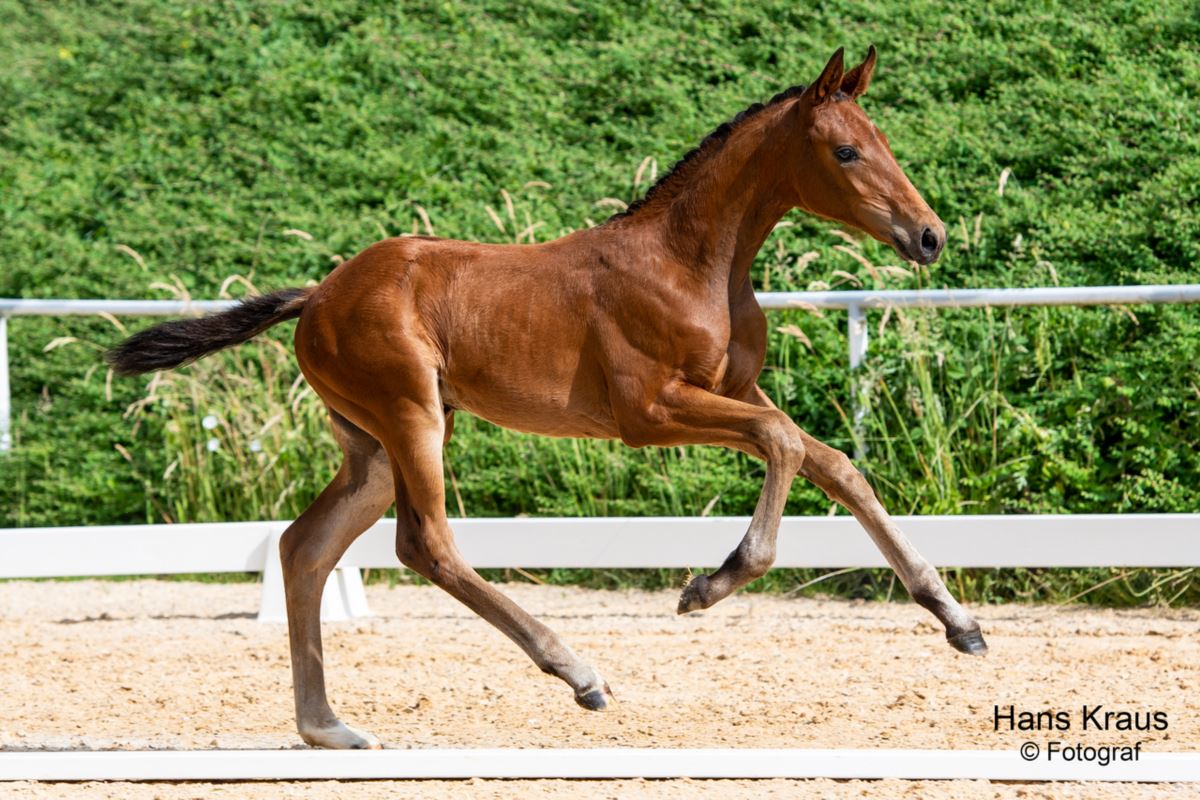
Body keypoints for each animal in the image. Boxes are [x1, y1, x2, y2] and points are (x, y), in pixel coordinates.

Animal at [108, 48, 984, 753]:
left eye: (884, 143)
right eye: (845, 150)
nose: (930, 236)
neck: (689, 261)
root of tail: (318, 295)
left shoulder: (731, 388)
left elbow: (834, 464)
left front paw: (958, 620)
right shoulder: (650, 411)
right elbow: (783, 441)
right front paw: (710, 585)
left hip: (373, 447)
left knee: (305, 548)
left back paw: (329, 729)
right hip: (409, 418)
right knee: (425, 544)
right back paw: (578, 672)